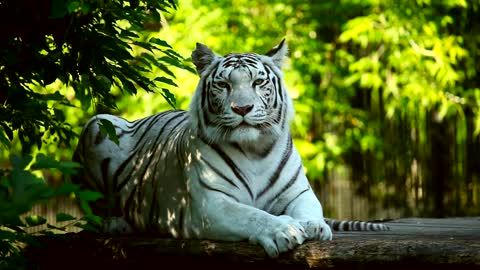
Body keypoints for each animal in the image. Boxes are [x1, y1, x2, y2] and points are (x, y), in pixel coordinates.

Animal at [75, 40, 390, 258]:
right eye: (224, 85)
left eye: (258, 82)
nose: (242, 108)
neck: (256, 150)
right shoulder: (209, 204)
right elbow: (252, 215)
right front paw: (284, 229)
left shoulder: (298, 192)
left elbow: (310, 209)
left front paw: (314, 225)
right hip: (98, 124)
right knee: (91, 211)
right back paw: (115, 224)